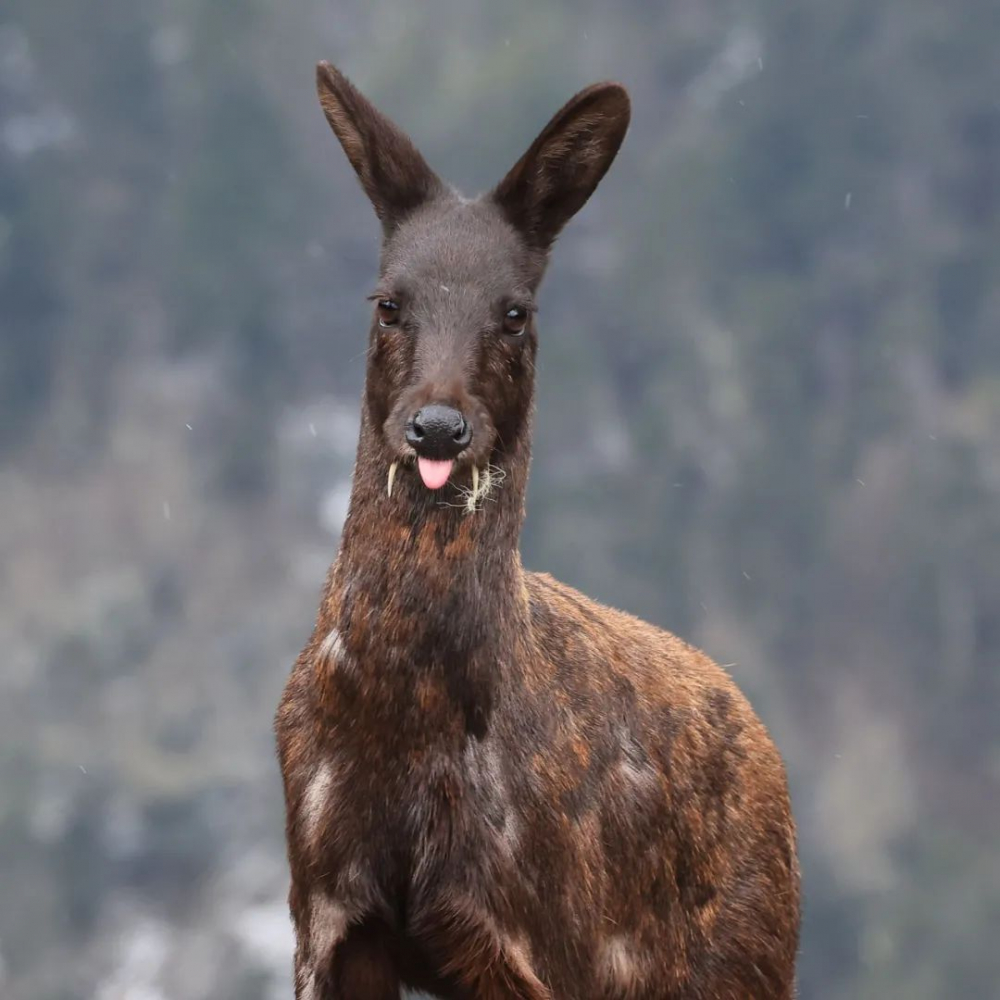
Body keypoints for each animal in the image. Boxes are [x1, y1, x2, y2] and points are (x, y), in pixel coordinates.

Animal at [275, 61, 801, 1000]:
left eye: (515, 310)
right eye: (389, 302)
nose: (437, 428)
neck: (403, 724)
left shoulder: (538, 932)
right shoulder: (326, 916)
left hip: (742, 957)